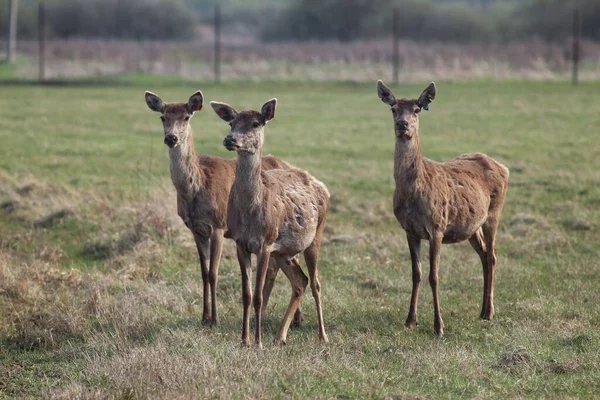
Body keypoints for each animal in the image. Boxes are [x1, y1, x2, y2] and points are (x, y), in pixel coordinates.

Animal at [211, 96, 330, 346]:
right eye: (231, 123)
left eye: (256, 123)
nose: (230, 139)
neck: (249, 213)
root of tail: (322, 186)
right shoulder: (241, 243)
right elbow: (246, 295)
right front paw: (244, 340)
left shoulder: (265, 243)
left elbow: (258, 296)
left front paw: (257, 342)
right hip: (284, 251)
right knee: (300, 281)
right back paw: (280, 337)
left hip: (316, 236)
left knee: (315, 283)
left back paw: (322, 336)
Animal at [378, 79, 508, 336]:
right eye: (393, 109)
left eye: (417, 109)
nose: (402, 124)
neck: (412, 193)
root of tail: (504, 168)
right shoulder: (409, 230)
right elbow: (416, 274)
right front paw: (410, 320)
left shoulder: (437, 226)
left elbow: (434, 276)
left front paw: (439, 326)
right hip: (472, 225)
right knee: (484, 254)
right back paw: (482, 310)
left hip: (494, 213)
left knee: (493, 255)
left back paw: (490, 311)